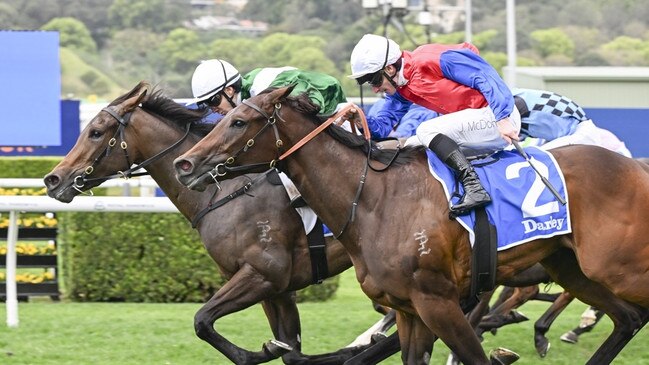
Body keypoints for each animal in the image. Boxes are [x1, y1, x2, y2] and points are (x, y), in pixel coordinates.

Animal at [41, 82, 400, 364]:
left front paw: (263, 351)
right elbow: (289, 348)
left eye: (96, 132)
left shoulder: (262, 275)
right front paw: (279, 349)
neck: (225, 193)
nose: (52, 179)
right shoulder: (275, 288)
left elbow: (203, 320)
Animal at [173, 86, 648, 364]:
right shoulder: (408, 309)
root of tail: (635, 167)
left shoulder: (436, 300)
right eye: (221, 115)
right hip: (572, 266)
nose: (186, 163)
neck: (375, 200)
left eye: (238, 121)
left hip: (616, 267)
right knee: (627, 318)